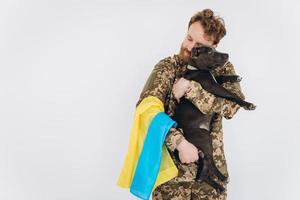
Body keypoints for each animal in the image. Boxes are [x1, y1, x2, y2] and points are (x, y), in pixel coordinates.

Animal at [171, 45, 255, 194]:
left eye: (214, 49)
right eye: (210, 51)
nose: (227, 55)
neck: (197, 69)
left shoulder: (216, 81)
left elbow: (220, 77)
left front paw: (234, 77)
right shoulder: (213, 87)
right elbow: (231, 94)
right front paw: (247, 104)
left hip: (201, 149)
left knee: (206, 167)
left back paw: (218, 181)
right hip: (204, 138)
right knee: (208, 165)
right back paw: (218, 180)